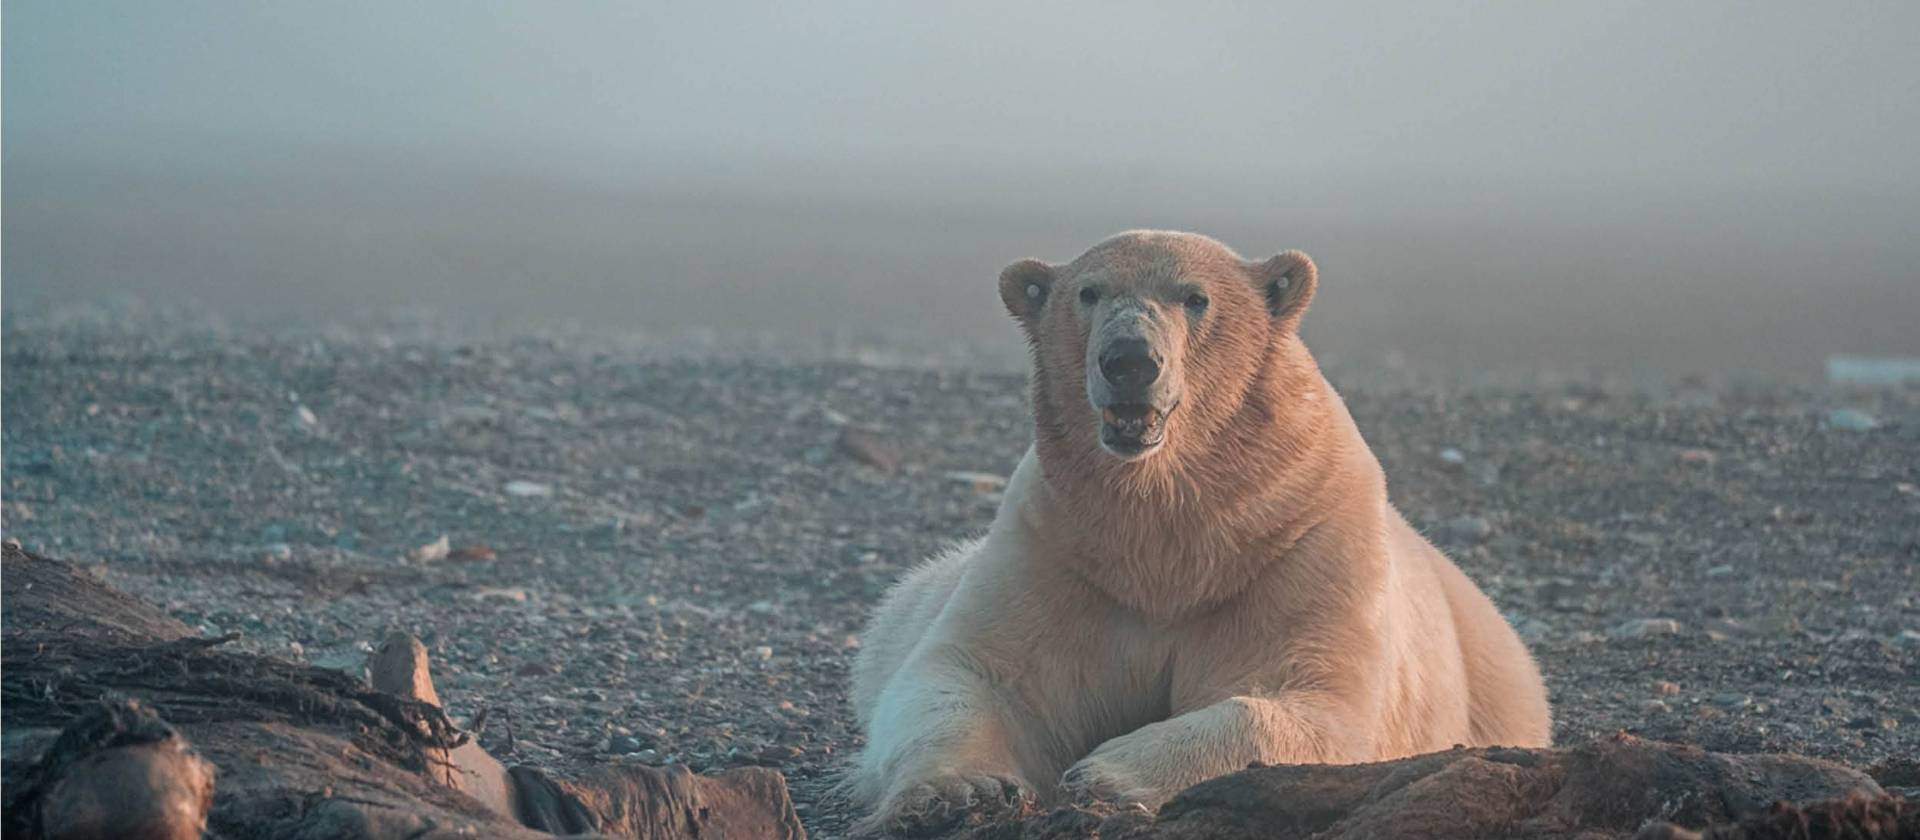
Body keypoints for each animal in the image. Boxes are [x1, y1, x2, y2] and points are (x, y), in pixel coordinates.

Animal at [844, 230, 1552, 835]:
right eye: (1088, 292)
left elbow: (1311, 701)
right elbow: (975, 673)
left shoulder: (1304, 545)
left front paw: (1102, 774)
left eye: (1195, 297)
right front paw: (959, 793)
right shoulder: (1054, 548)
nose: (1130, 359)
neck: (1176, 535)